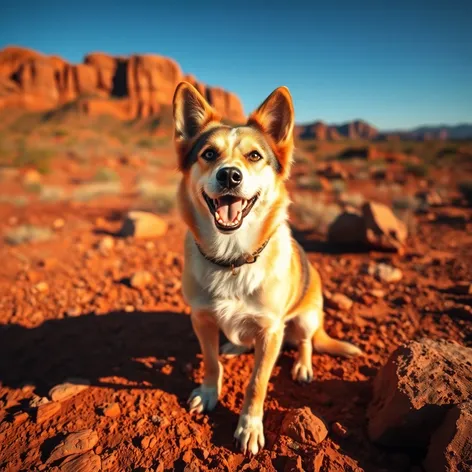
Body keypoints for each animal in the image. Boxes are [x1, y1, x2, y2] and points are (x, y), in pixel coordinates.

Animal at [173, 83, 362, 456]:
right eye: (209, 154)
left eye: (255, 156)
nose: (230, 175)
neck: (232, 258)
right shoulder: (201, 319)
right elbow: (211, 362)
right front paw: (209, 393)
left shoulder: (271, 331)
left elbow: (257, 382)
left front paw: (249, 427)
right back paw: (235, 346)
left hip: (306, 317)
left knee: (305, 341)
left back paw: (303, 365)